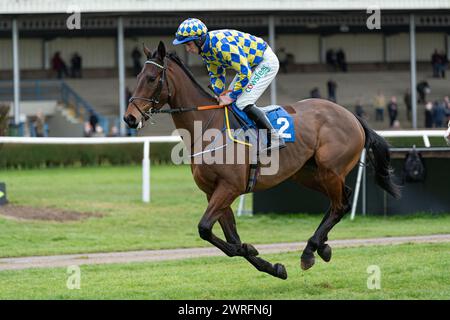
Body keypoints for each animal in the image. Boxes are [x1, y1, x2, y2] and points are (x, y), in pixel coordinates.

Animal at [123, 42, 400, 280]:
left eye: (151, 79)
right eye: (137, 78)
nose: (129, 118)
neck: (207, 128)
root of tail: (352, 115)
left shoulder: (229, 187)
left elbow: (205, 228)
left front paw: (253, 250)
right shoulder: (214, 191)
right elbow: (230, 238)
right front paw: (271, 265)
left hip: (330, 170)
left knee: (340, 204)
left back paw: (310, 250)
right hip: (307, 174)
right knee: (341, 200)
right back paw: (321, 247)